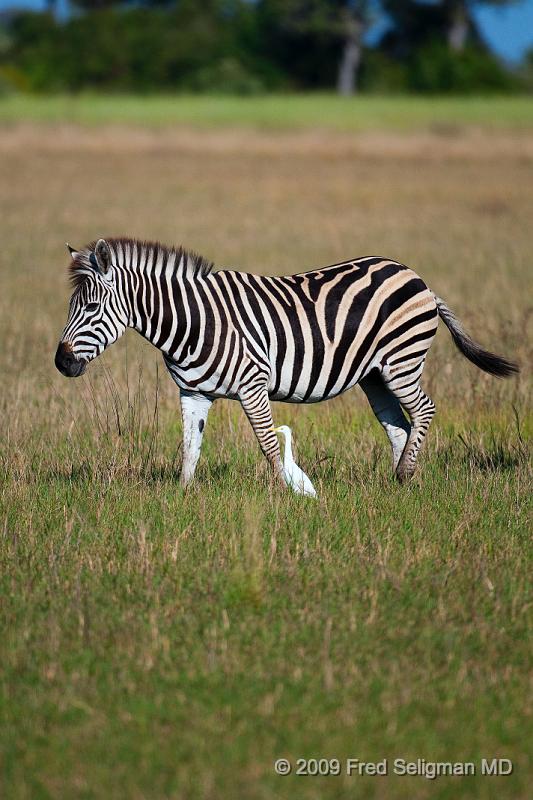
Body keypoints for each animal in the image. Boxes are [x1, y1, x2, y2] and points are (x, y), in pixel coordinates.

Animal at [54, 238, 516, 488]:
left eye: (92, 307)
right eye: (71, 306)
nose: (61, 363)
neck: (194, 320)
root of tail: (417, 278)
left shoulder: (252, 383)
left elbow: (268, 444)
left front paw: (287, 492)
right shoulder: (193, 392)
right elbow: (189, 449)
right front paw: (182, 500)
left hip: (400, 361)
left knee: (425, 410)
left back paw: (405, 474)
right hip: (375, 376)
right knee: (400, 425)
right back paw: (402, 483)